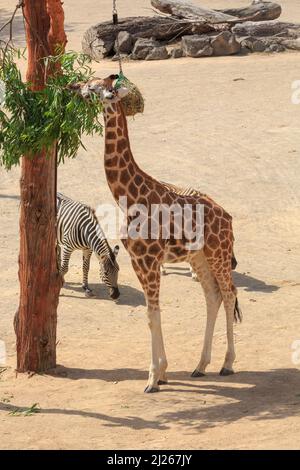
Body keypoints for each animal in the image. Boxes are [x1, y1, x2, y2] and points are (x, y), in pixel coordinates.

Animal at [71, 76, 243, 392]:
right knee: (212, 297)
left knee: (229, 293)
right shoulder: (138, 261)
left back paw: (227, 364)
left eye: (97, 87)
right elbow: (153, 314)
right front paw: (162, 374)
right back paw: (200, 366)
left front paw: (152, 378)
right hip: (198, 257)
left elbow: (152, 315)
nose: (74, 87)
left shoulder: (148, 260)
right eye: (89, 83)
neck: (127, 196)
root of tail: (227, 217)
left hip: (219, 252)